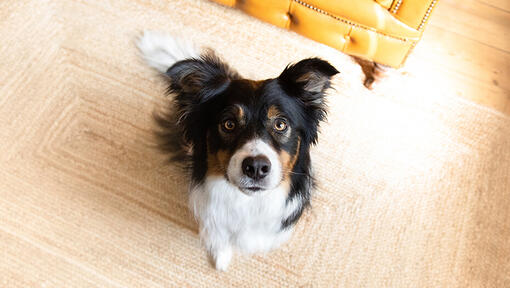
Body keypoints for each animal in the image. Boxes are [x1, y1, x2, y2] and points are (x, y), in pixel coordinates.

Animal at [138, 31, 338, 270]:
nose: (256, 167)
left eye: (281, 124)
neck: (248, 203)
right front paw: (220, 257)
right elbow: (218, 236)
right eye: (229, 124)